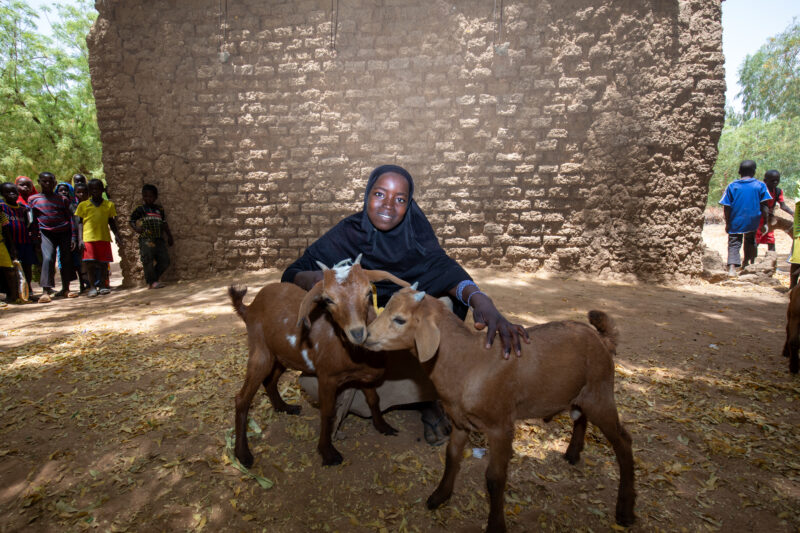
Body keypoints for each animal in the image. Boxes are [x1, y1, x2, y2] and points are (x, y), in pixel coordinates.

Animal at [228, 258, 409, 467]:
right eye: (328, 299)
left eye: (367, 293)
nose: (357, 333)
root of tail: (249, 307)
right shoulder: (327, 377)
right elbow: (328, 412)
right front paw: (327, 452)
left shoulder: (364, 377)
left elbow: (374, 399)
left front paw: (383, 426)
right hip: (261, 352)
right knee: (242, 398)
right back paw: (243, 454)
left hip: (282, 355)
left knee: (270, 381)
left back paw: (285, 407)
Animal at [363, 287, 635, 532]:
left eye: (400, 319)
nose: (365, 337)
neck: (467, 362)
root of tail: (602, 339)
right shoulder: (460, 422)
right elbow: (452, 457)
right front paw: (439, 496)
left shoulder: (501, 426)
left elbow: (494, 478)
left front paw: (495, 525)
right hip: (580, 395)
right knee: (580, 417)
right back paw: (572, 453)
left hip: (600, 394)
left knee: (623, 441)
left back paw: (625, 511)